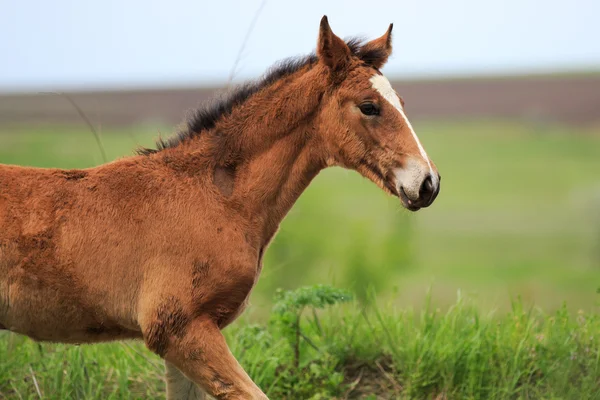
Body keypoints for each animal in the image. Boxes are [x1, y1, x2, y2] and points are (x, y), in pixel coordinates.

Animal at [0, 16, 440, 400]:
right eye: (369, 106)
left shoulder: (188, 338)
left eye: (400, 101)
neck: (215, 198)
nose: (428, 183)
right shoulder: (180, 330)